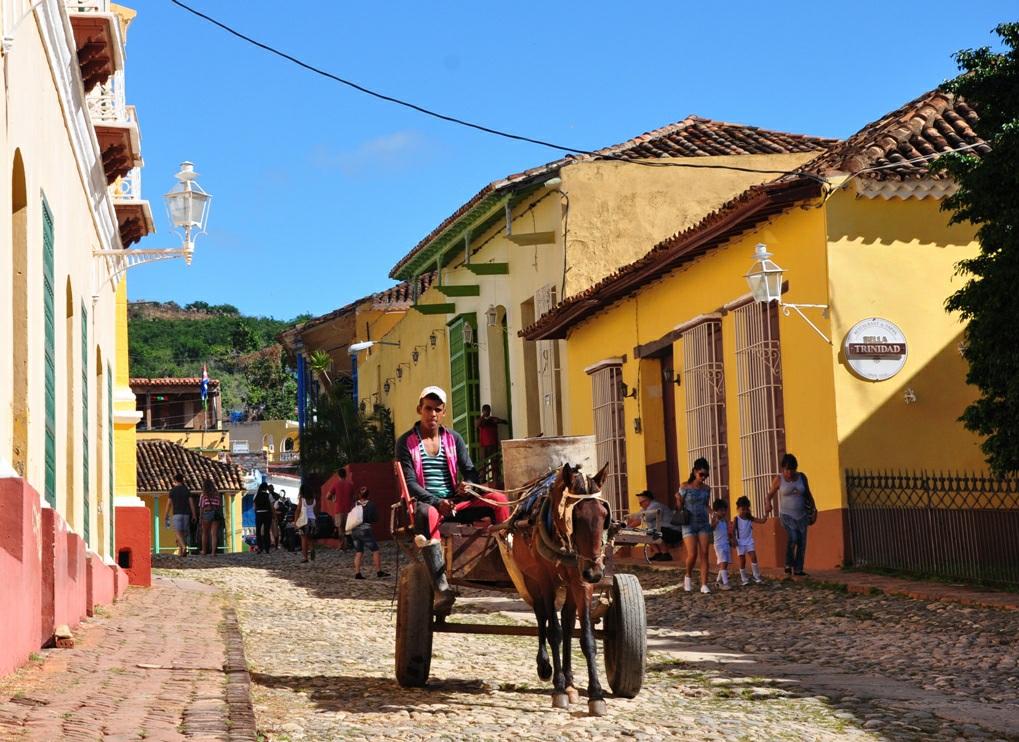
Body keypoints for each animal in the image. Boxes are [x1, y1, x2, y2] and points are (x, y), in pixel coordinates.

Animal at [509, 460, 611, 717]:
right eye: (576, 517)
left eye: (604, 515)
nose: (595, 573)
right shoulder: (545, 580)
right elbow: (553, 631)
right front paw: (558, 690)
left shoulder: (581, 581)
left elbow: (586, 637)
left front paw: (596, 694)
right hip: (531, 579)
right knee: (542, 616)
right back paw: (547, 668)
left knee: (566, 622)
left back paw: (570, 683)